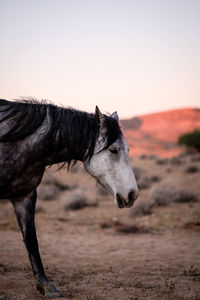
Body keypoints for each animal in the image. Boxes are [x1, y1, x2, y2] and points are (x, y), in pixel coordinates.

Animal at [0, 99, 139, 298]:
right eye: (113, 150)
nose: (132, 194)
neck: (13, 142)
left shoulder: (24, 196)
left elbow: (32, 241)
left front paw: (46, 286)